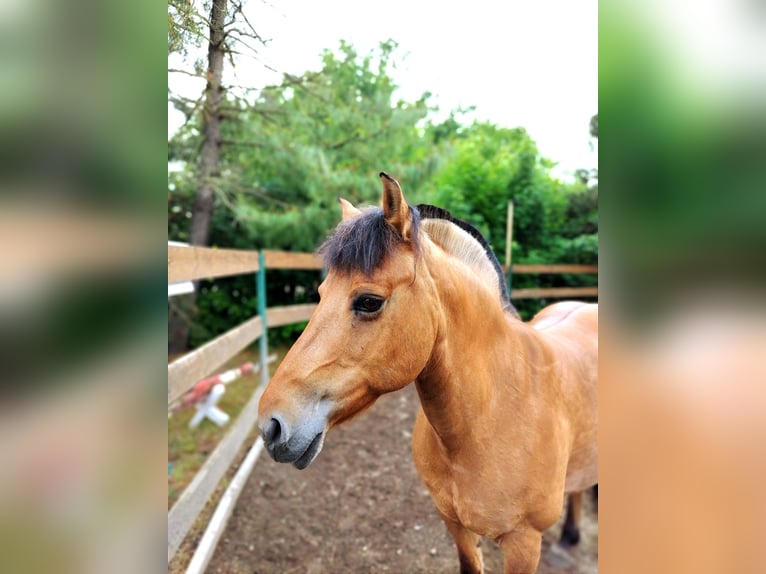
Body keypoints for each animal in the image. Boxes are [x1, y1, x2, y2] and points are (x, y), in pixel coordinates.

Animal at [258, 173, 600, 572]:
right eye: (321, 291)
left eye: (369, 301)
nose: (271, 425)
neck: (493, 413)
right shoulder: (453, 523)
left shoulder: (523, 543)